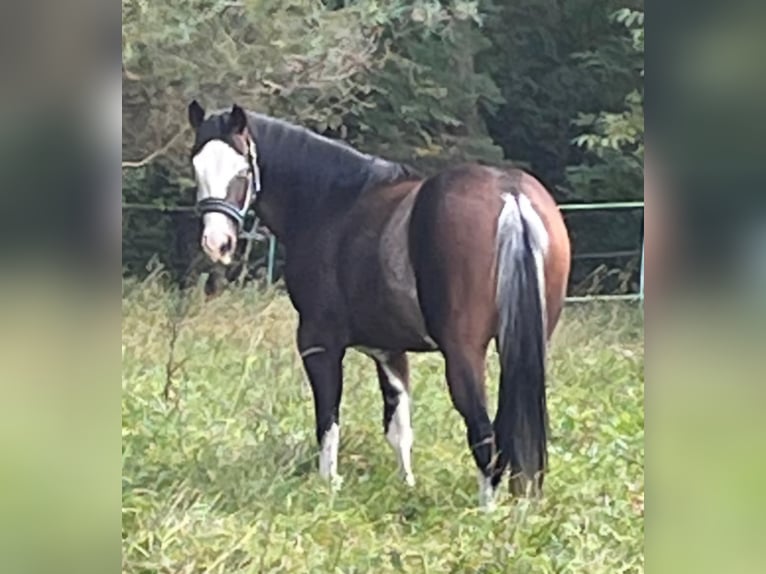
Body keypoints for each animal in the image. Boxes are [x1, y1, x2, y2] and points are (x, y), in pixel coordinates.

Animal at [184, 101, 568, 510]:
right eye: (197, 166)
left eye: (242, 170)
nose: (217, 243)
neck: (332, 205)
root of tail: (509, 194)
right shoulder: (389, 351)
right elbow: (399, 428)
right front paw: (406, 487)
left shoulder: (318, 343)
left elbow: (328, 418)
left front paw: (328, 484)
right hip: (522, 348)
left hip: (464, 353)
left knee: (483, 432)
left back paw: (486, 511)